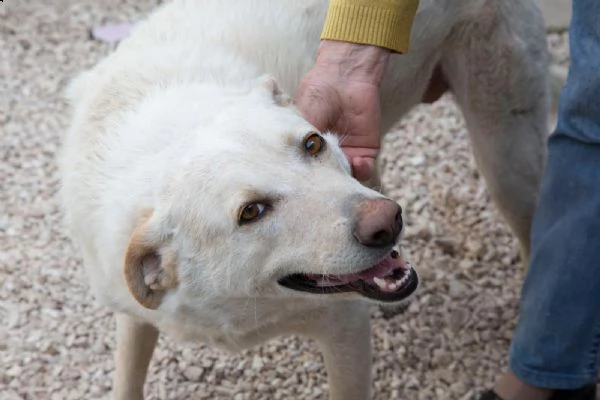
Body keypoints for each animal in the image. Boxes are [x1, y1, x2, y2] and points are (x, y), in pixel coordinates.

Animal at [58, 1, 560, 398]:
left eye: (312, 143)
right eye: (251, 212)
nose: (388, 222)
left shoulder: (344, 328)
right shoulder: (133, 316)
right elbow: (126, 380)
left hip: (506, 158)